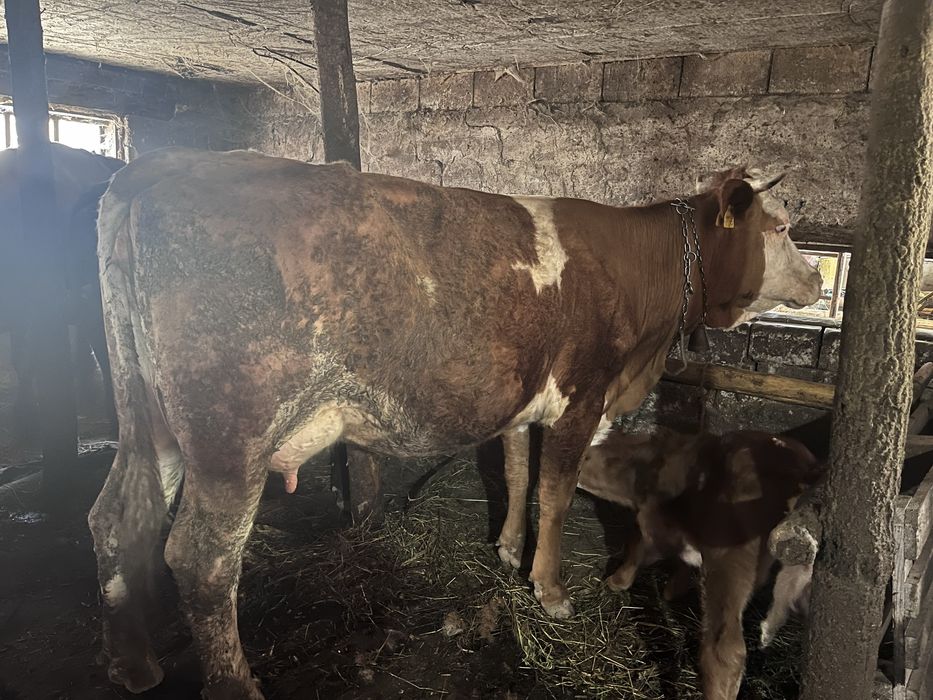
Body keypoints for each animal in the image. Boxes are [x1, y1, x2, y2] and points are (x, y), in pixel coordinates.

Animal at [577, 427, 824, 700]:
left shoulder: (657, 525)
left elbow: (638, 548)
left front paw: (616, 581)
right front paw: (673, 588)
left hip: (729, 561)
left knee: (724, 651)